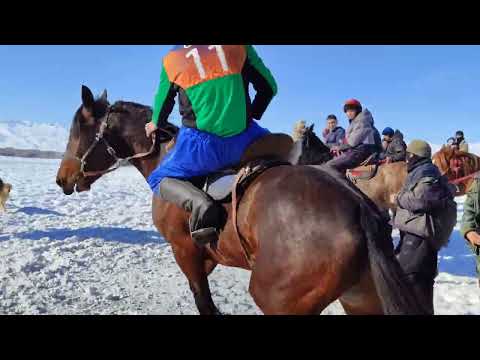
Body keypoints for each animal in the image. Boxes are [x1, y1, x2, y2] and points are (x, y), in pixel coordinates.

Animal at [56, 87, 424, 316]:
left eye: (79, 130)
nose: (62, 178)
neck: (166, 155)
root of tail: (357, 210)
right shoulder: (207, 254)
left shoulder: (184, 250)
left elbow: (204, 302)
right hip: (361, 297)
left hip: (277, 298)